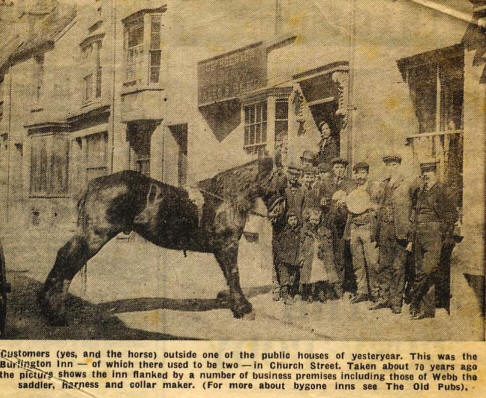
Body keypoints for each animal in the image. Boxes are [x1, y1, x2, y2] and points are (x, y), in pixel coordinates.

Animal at [39, 157, 286, 324]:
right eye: (282, 179)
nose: (281, 211)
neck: (226, 198)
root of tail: (95, 184)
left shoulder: (221, 250)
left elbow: (228, 276)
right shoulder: (228, 246)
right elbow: (234, 275)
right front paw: (244, 309)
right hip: (95, 236)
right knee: (69, 258)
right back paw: (55, 311)